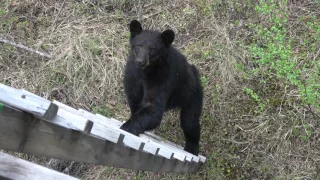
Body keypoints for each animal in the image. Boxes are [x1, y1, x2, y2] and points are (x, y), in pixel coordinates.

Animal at [120, 19, 202, 155]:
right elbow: (134, 100)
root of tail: (194, 71)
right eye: (138, 45)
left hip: (192, 94)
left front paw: (127, 126)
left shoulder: (163, 77)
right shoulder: (132, 75)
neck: (146, 72)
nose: (140, 61)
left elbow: (153, 107)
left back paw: (191, 149)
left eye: (152, 49)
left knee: (190, 122)